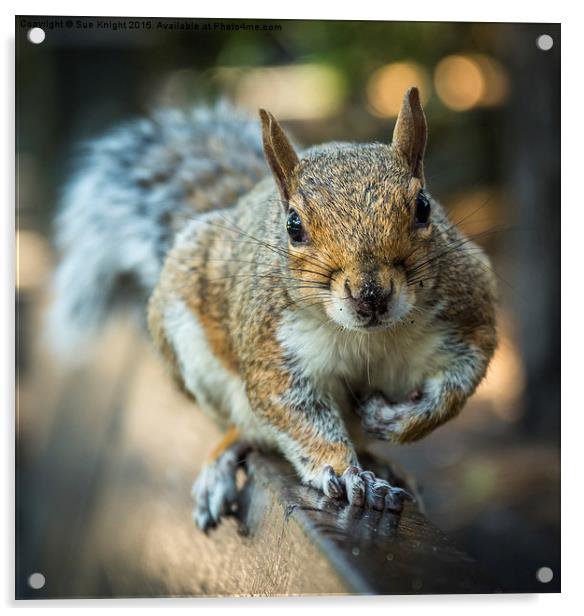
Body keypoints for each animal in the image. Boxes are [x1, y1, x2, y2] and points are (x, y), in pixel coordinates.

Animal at [50, 88, 498, 528]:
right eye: (293, 226)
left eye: (423, 206)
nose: (370, 295)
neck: (368, 337)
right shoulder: (273, 348)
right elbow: (296, 413)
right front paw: (344, 474)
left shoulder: (467, 313)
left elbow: (458, 384)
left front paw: (400, 420)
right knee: (243, 428)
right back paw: (224, 462)